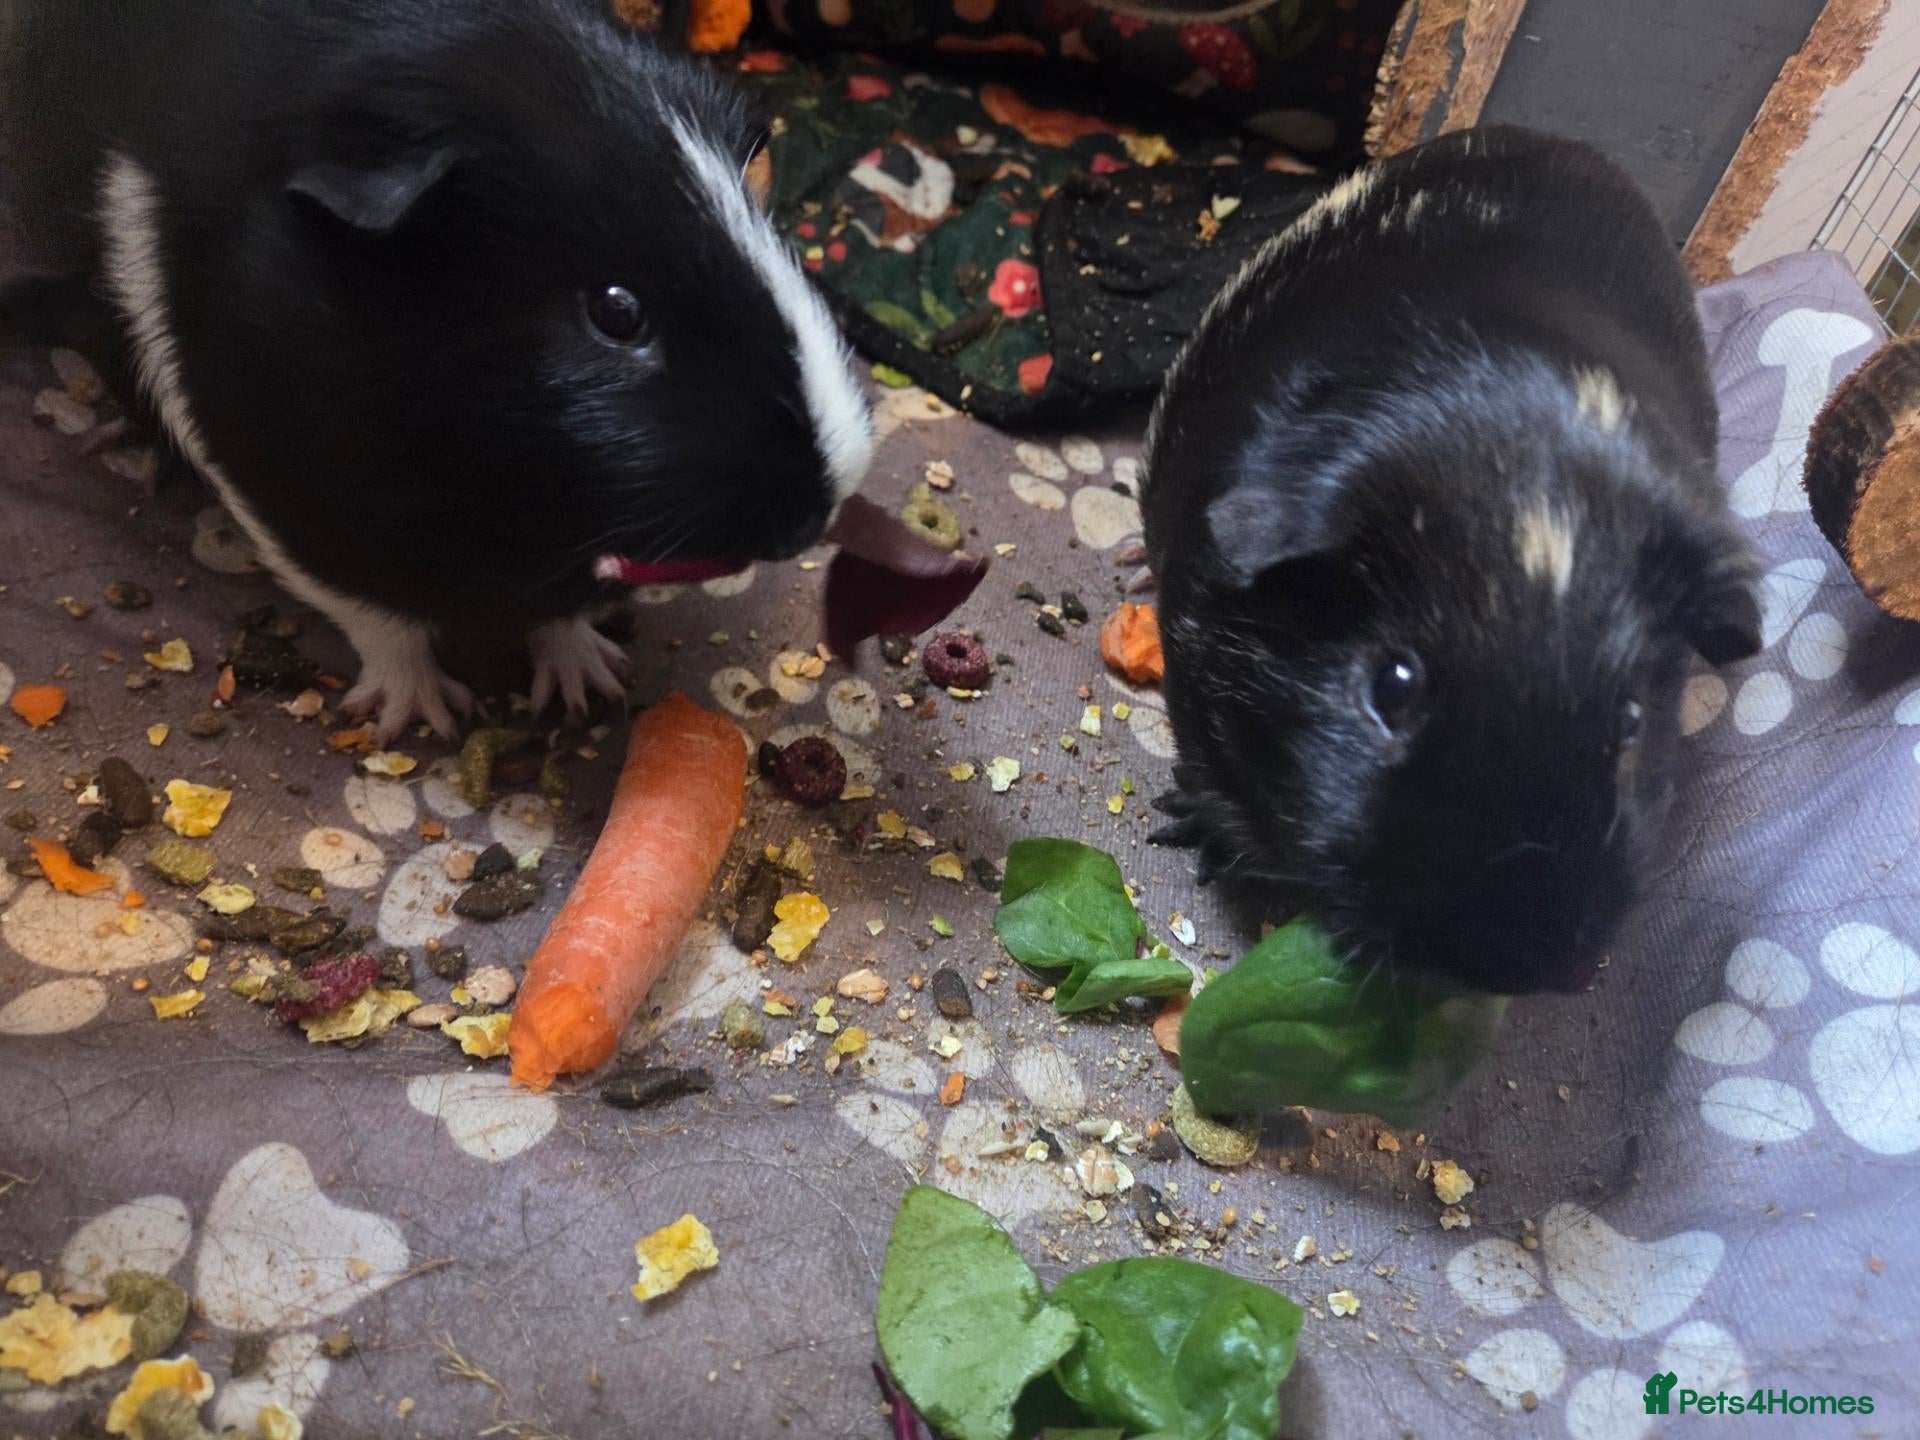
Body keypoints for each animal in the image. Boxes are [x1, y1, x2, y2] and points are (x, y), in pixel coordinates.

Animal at [0, 0, 872, 740]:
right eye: (616, 311)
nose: (818, 508)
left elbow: (560, 620)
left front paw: (588, 683)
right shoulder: (288, 493)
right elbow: (379, 619)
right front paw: (422, 718)